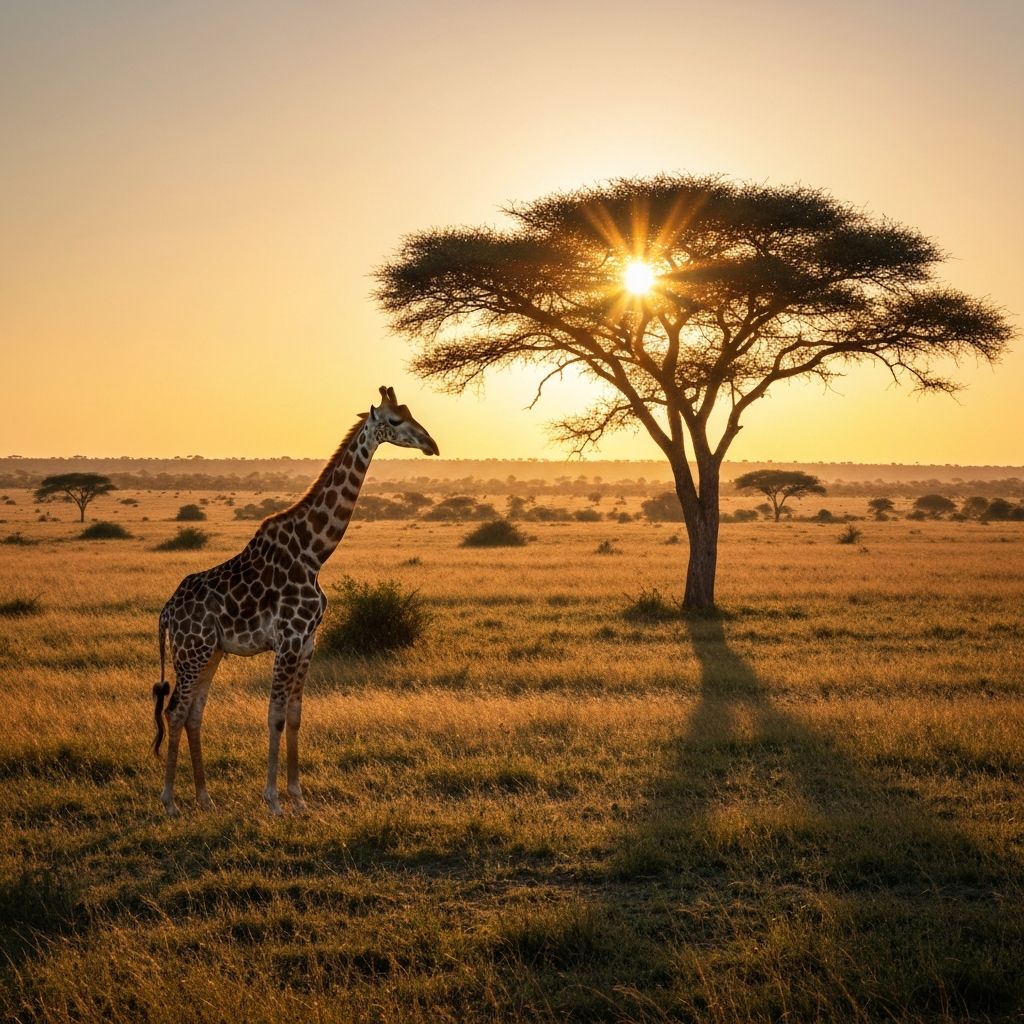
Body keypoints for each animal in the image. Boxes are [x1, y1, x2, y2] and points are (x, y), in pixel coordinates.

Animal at [151, 386, 439, 815]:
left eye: (410, 413)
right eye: (396, 420)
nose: (431, 444)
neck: (314, 551)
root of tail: (167, 611)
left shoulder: (307, 641)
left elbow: (296, 715)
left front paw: (299, 797)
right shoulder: (287, 639)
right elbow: (275, 715)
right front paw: (272, 799)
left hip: (210, 651)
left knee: (194, 714)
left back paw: (205, 798)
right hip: (192, 649)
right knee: (175, 711)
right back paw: (170, 801)